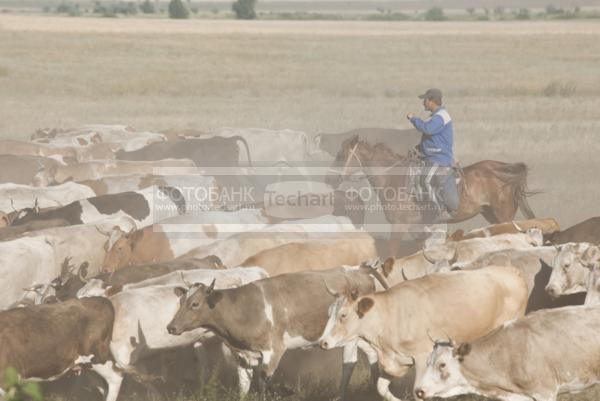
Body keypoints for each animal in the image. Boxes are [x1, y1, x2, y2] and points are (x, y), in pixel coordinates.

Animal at [326, 134, 536, 252]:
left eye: (341, 155)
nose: (329, 179)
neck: (394, 179)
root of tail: (504, 168)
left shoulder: (399, 226)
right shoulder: (417, 228)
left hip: (503, 215)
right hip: (491, 215)